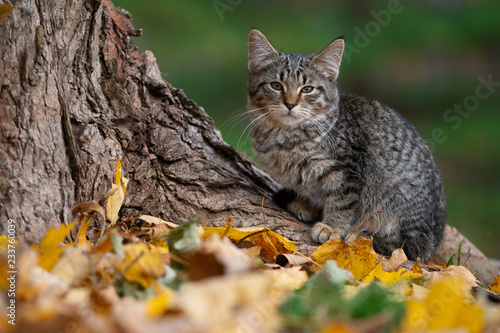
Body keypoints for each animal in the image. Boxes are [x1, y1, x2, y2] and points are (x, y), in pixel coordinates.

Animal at [246, 29, 446, 262]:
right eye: (276, 86)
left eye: (307, 89)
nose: (290, 104)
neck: (285, 136)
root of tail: (433, 243)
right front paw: (307, 205)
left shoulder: (348, 172)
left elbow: (343, 201)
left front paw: (332, 227)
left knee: (399, 246)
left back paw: (359, 234)